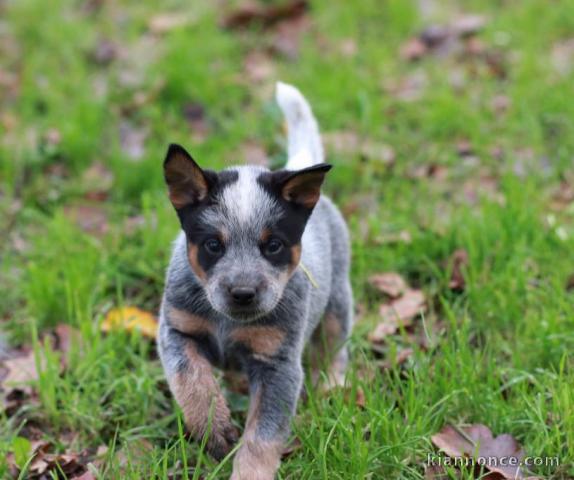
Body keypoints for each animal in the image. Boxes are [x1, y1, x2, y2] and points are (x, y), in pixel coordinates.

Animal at [160, 82, 354, 480]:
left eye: (274, 245)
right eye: (213, 245)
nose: (243, 293)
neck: (228, 324)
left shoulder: (277, 365)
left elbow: (262, 438)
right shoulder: (176, 330)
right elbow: (190, 379)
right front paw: (215, 429)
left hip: (338, 301)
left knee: (334, 346)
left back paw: (330, 386)